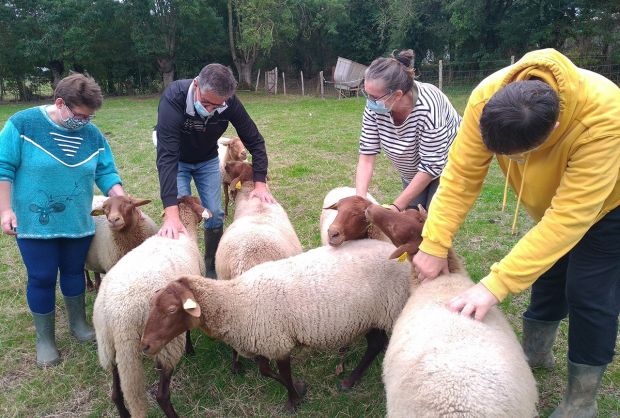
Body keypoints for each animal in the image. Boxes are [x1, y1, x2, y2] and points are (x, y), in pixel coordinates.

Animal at [93, 196, 211, 418]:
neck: (183, 230)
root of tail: (119, 316)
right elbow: (187, 330)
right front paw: (190, 350)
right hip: (163, 343)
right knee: (161, 395)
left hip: (108, 346)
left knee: (116, 394)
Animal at [140, 240, 412, 414]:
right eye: (152, 305)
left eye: (171, 310)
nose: (145, 345)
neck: (236, 302)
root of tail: (397, 251)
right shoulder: (261, 339)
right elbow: (265, 371)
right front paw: (300, 390)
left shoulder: (278, 341)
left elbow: (283, 374)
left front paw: (294, 400)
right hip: (372, 315)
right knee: (375, 344)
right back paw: (351, 379)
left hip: (390, 309)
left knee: (377, 345)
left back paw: (351, 380)